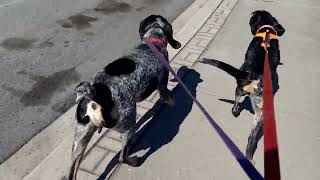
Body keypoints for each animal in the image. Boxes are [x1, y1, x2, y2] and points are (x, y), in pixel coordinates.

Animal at [65, 14, 180, 179]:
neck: (152, 42)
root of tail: (95, 94)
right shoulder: (162, 84)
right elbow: (168, 97)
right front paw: (173, 103)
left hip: (80, 140)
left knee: (71, 170)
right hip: (128, 126)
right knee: (122, 157)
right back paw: (133, 161)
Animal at [200, 10, 284, 162]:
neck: (267, 31)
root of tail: (251, 75)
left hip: (242, 91)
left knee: (234, 107)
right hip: (260, 109)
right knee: (251, 136)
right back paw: (250, 155)